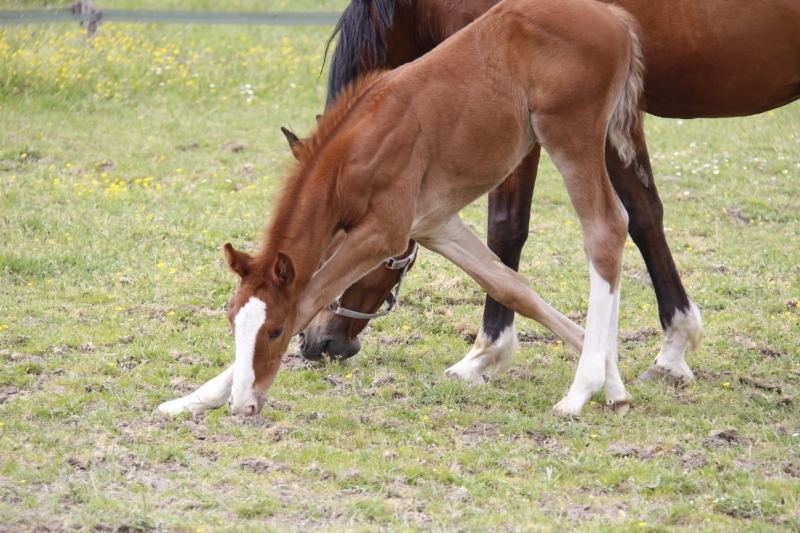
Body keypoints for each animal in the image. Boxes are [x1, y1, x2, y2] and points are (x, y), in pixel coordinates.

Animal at [159, 0, 648, 416]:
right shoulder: (434, 225)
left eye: (275, 330)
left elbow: (309, 295)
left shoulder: (386, 231)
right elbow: (513, 288)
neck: (354, 155)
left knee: (606, 228)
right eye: (231, 322)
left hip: (570, 134)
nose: (244, 408)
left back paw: (578, 391)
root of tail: (614, 17)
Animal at [298, 0, 800, 384]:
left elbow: (507, 230)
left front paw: (485, 353)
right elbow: (643, 215)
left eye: (340, 237)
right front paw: (672, 349)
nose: (313, 342)